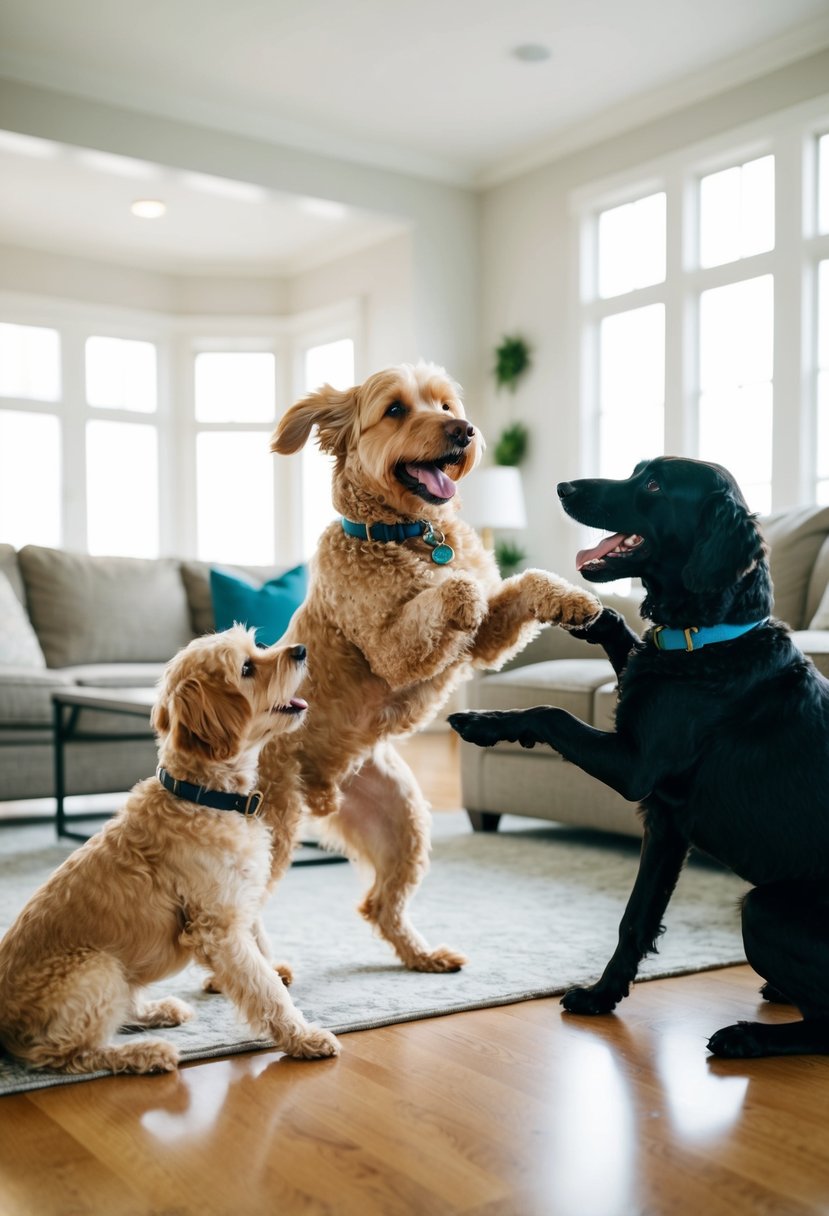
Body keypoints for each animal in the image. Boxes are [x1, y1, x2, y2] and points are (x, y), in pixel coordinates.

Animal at [0, 627, 337, 1074]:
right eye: (247, 667)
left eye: (259, 647)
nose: (300, 650)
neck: (204, 797)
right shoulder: (217, 929)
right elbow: (264, 988)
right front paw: (304, 1037)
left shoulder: (242, 903)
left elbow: (263, 954)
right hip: (98, 968)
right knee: (66, 1055)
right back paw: (145, 1053)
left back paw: (157, 1011)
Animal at [255, 357, 598, 967]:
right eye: (395, 409)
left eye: (445, 405)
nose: (464, 431)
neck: (411, 533)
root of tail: (321, 789)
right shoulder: (392, 648)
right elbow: (456, 590)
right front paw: (459, 589)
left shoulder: (484, 644)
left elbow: (525, 582)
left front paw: (573, 600)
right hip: (273, 824)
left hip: (403, 820)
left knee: (378, 905)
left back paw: (422, 957)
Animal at [449, 457, 826, 1055]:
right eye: (637, 469)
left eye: (652, 484)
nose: (562, 487)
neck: (709, 638)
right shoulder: (666, 823)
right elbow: (636, 920)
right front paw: (603, 997)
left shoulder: (635, 769)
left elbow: (552, 714)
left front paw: (485, 723)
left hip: (763, 908)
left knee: (827, 1024)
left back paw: (746, 1037)